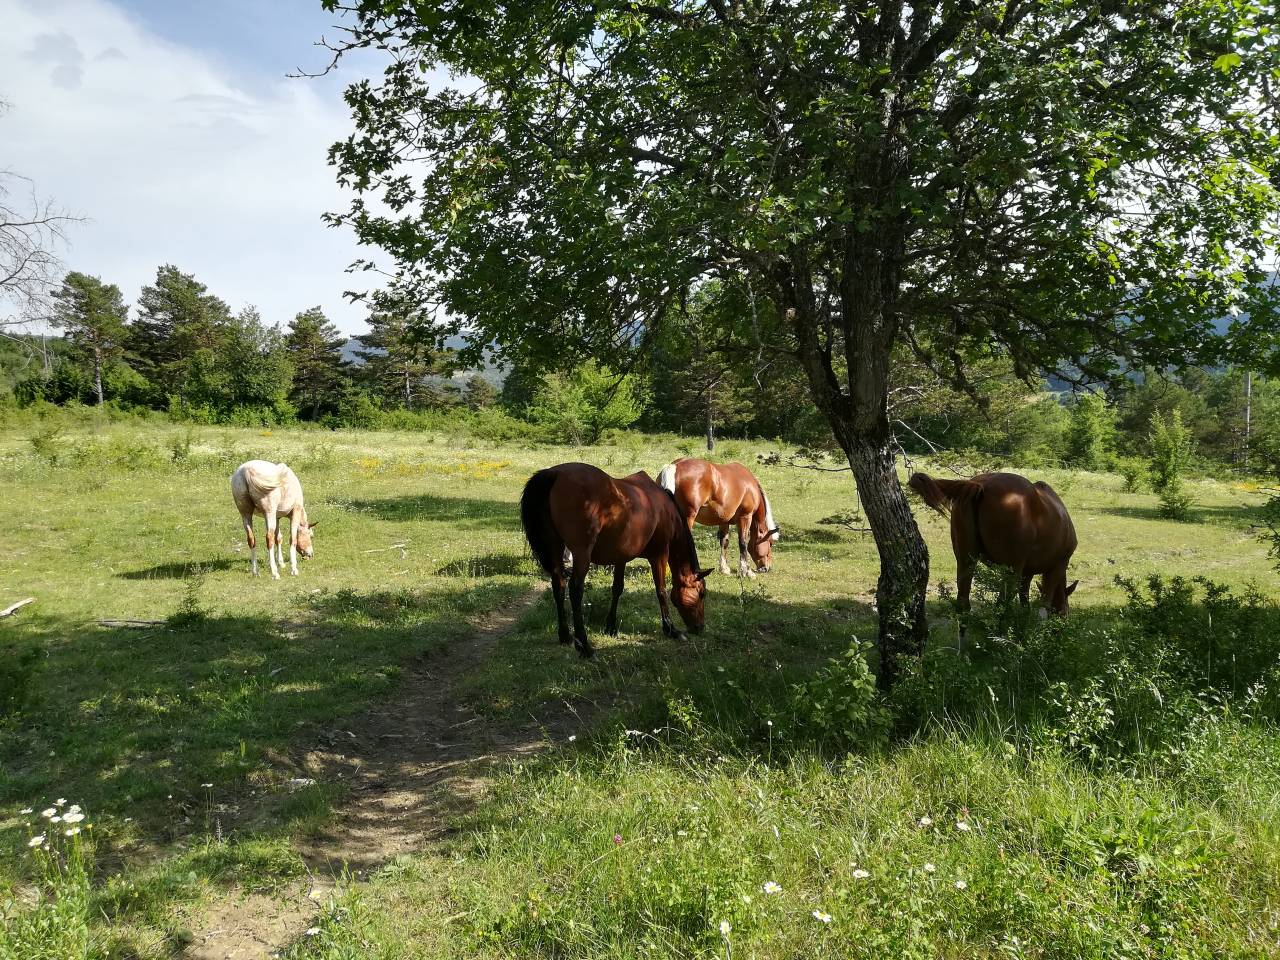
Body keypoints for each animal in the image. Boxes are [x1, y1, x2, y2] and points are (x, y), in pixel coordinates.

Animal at [519, 462, 713, 657]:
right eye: (701, 593)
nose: (700, 627)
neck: (666, 510)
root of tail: (555, 473)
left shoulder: (621, 557)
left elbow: (617, 589)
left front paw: (611, 627)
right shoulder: (659, 556)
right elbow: (661, 591)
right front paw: (670, 629)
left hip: (555, 547)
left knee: (558, 585)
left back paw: (565, 636)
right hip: (581, 553)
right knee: (575, 590)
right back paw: (585, 646)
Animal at [908, 471, 1078, 617]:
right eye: (1065, 613)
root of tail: (980, 486)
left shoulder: (1027, 574)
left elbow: (1025, 605)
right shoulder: (1055, 568)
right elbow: (1042, 610)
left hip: (965, 562)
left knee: (963, 605)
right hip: (1011, 571)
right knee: (1002, 607)